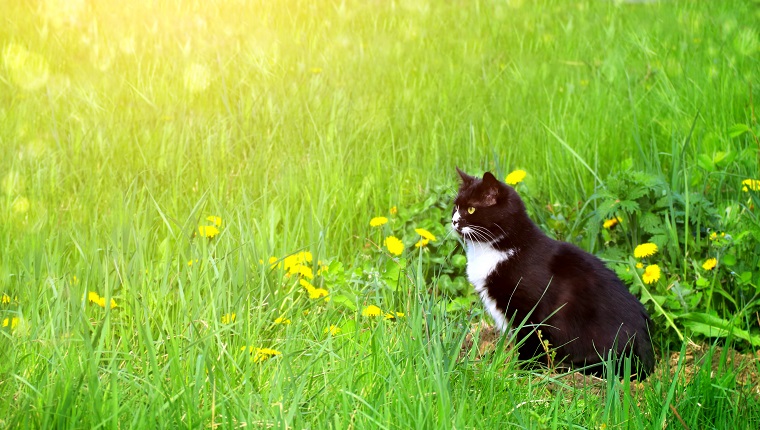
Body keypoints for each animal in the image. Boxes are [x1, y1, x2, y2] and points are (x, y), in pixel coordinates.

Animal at [452, 170, 652, 378]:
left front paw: (525, 372)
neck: (499, 249)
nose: (454, 221)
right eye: (455, 207)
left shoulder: (530, 312)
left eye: (471, 209)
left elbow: (530, 343)